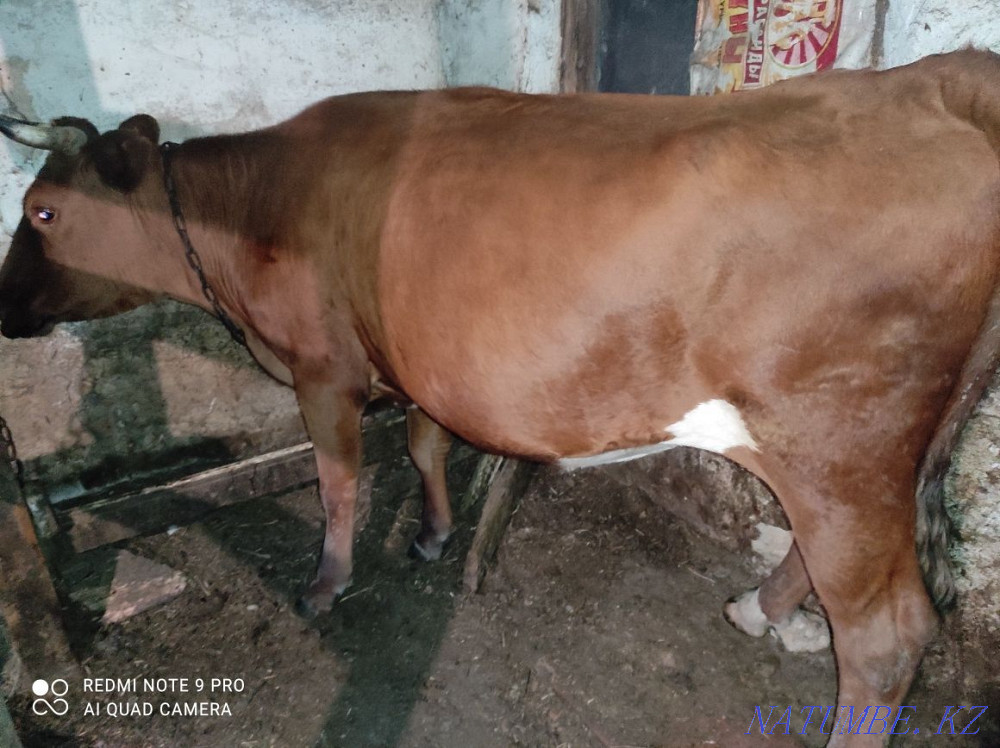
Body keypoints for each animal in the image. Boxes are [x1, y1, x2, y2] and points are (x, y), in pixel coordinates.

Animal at [2, 49, 999, 746]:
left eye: (42, 212)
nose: (6, 304)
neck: (261, 205)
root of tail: (939, 79)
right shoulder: (416, 355)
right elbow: (424, 445)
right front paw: (436, 534)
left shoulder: (321, 367)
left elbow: (337, 481)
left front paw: (326, 584)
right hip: (870, 447)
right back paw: (755, 607)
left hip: (839, 441)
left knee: (884, 634)